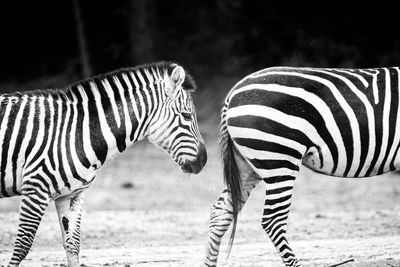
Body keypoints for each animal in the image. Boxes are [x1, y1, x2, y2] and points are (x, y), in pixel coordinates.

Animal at [0, 61, 206, 267]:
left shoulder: (71, 195)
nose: (204, 160)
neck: (79, 131)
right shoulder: (36, 189)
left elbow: (73, 246)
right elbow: (23, 245)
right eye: (187, 116)